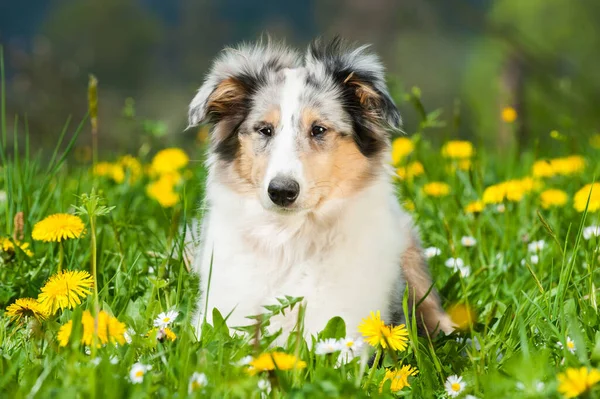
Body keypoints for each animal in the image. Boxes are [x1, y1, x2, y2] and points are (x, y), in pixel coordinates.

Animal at [186, 38, 450, 340]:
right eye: (265, 130)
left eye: (319, 130)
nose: (281, 192)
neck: (289, 238)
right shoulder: (221, 313)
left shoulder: (345, 325)